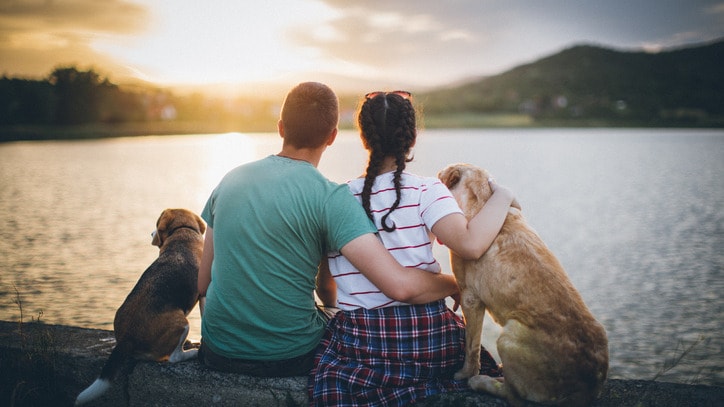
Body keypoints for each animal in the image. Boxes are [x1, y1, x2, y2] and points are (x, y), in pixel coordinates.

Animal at [75, 209, 205, 406]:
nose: (151, 234)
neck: (182, 231)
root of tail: (125, 340)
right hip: (181, 321)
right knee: (173, 357)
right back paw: (192, 351)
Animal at [438, 164, 608, 406]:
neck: (482, 201)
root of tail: (588, 387)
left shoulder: (470, 298)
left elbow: (471, 346)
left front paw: (464, 374)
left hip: (507, 338)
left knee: (512, 394)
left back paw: (482, 381)